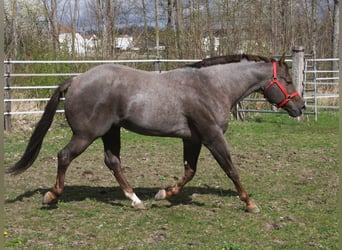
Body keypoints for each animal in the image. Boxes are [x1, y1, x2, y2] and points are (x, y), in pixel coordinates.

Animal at [6, 54, 304, 213]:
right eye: (288, 80)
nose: (300, 107)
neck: (211, 86)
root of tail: (76, 80)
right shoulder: (212, 136)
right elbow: (231, 169)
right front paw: (250, 203)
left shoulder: (192, 139)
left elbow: (189, 171)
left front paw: (164, 194)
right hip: (86, 134)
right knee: (64, 156)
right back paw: (51, 196)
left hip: (111, 132)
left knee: (112, 161)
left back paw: (136, 200)